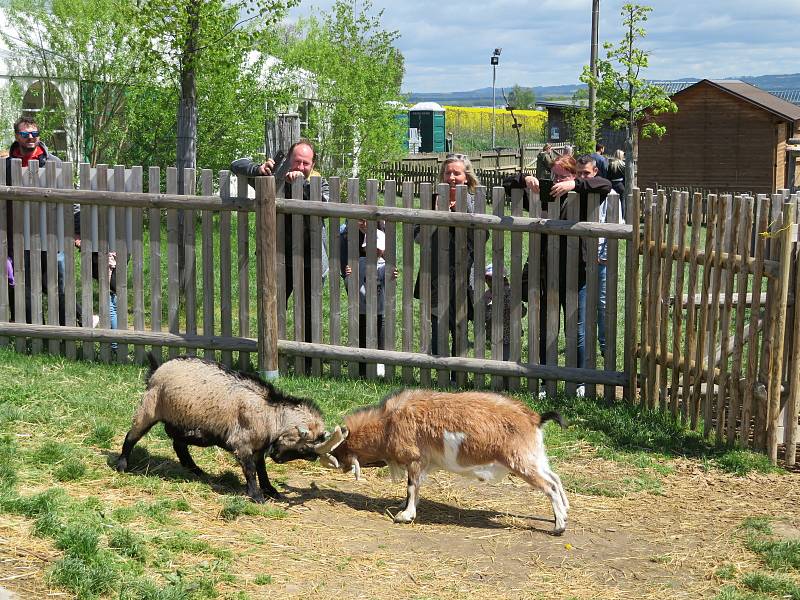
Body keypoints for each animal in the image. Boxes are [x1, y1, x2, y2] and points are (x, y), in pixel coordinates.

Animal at [326, 390, 568, 536]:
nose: (333, 460)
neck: (388, 423)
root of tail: (534, 419)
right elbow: (414, 489)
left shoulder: (415, 460)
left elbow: (411, 487)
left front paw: (405, 515)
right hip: (534, 457)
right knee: (556, 478)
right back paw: (564, 513)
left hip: (521, 461)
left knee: (550, 486)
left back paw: (559, 527)